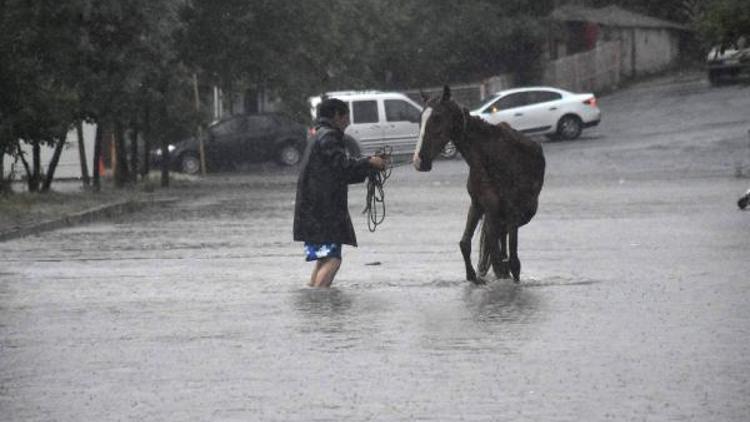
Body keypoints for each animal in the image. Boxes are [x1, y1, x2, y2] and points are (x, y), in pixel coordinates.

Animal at [414, 85, 548, 284]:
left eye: (437, 118)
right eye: (421, 119)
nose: (419, 161)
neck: (490, 158)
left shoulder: (511, 212)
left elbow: (513, 261)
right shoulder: (479, 205)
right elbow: (466, 244)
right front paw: (473, 277)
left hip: (524, 214)